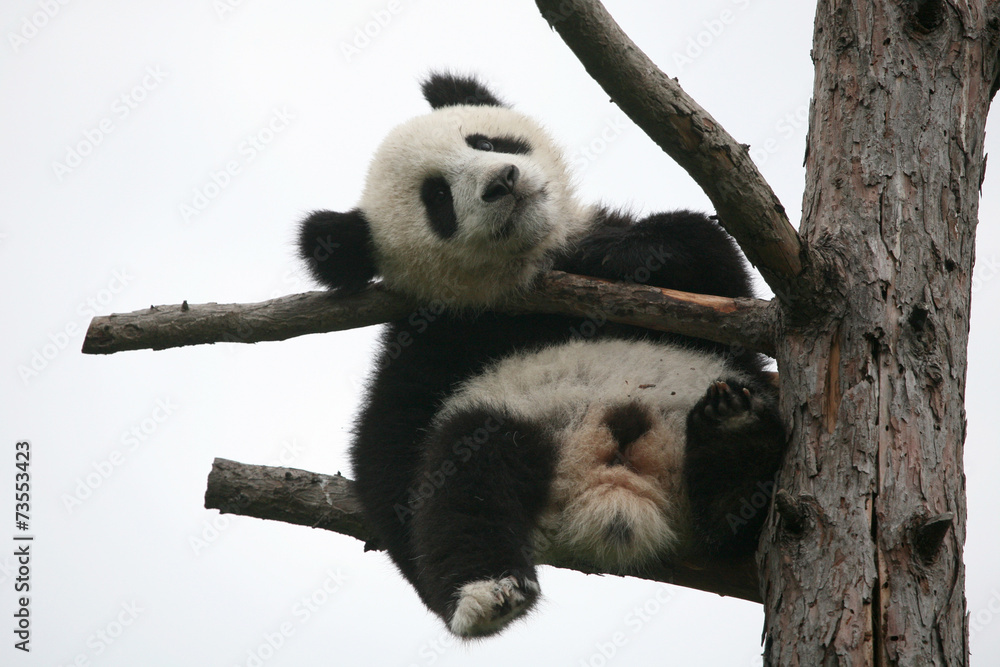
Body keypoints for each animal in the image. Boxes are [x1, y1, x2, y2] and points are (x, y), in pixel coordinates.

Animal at [298, 73, 786, 638]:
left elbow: (712, 265)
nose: (503, 180)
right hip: (517, 421)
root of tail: (619, 493)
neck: (526, 277)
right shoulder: (433, 333)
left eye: (485, 143)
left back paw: (735, 442)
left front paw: (621, 251)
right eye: (436, 197)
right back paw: (487, 592)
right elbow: (390, 446)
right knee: (467, 475)